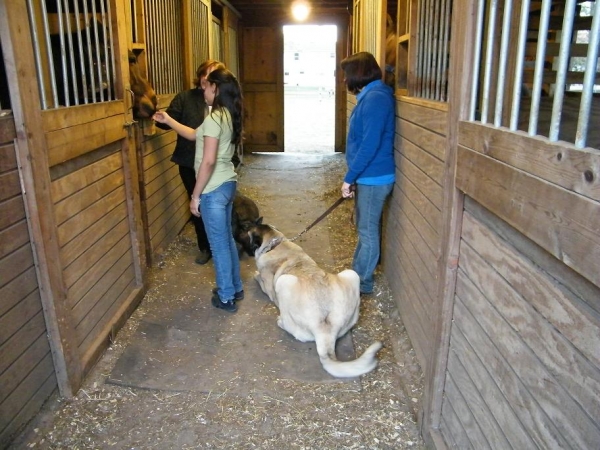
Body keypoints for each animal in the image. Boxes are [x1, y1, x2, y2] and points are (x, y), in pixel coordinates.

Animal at [250, 220, 384, 378]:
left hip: (284, 282)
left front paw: (255, 274)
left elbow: (259, 277)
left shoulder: (269, 287)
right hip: (352, 275)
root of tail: (325, 331)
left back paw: (281, 322)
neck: (275, 243)